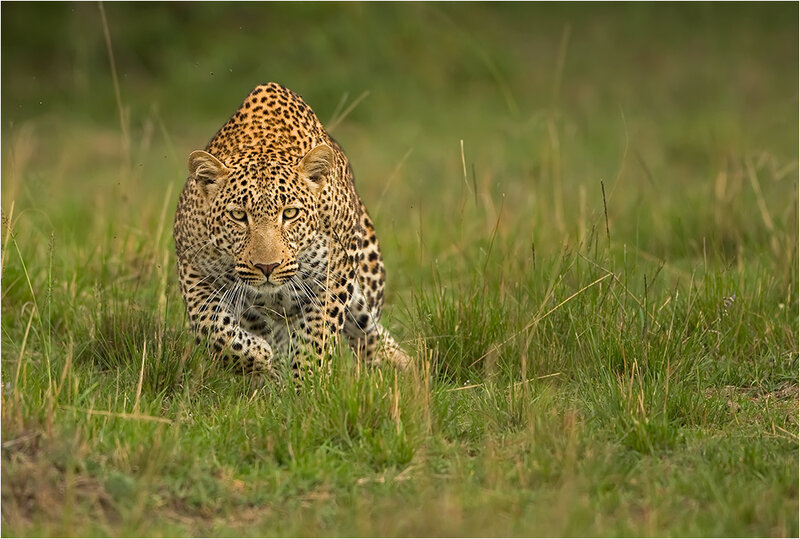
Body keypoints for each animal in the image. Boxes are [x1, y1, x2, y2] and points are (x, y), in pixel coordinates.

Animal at [173, 82, 412, 381]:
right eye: (238, 216)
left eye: (289, 214)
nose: (267, 267)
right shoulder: (191, 266)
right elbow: (210, 326)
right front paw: (258, 355)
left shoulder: (334, 274)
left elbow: (316, 337)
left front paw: (307, 384)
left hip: (367, 283)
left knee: (369, 333)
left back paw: (408, 368)